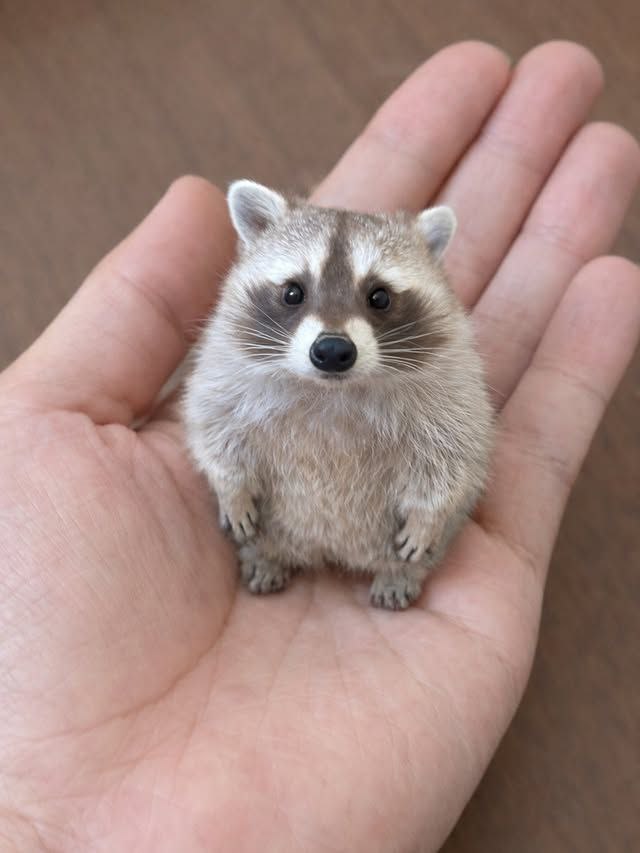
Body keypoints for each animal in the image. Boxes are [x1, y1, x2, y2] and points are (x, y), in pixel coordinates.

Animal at [183, 180, 493, 609]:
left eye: (379, 297)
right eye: (293, 292)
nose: (331, 351)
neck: (332, 389)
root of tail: (329, 550)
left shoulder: (453, 386)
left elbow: (451, 460)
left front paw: (426, 517)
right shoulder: (224, 364)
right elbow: (214, 428)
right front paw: (232, 489)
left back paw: (398, 573)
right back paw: (265, 556)